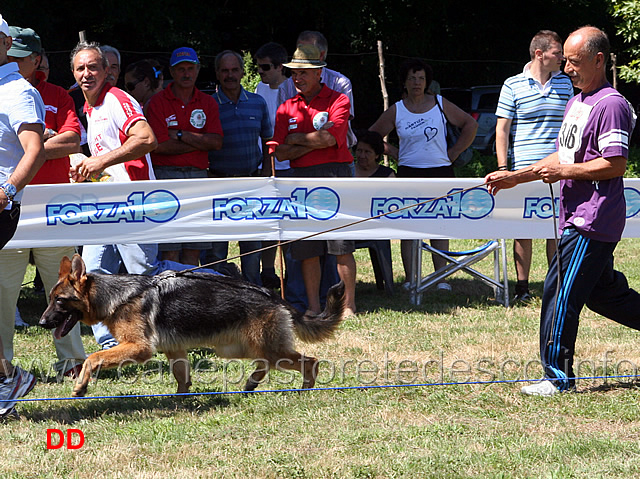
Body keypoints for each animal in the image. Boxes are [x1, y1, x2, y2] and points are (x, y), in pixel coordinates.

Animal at [39, 255, 344, 398]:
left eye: (59, 301)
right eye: (50, 299)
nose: (42, 322)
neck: (118, 296)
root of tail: (272, 294)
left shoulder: (138, 348)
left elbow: (93, 358)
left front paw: (81, 386)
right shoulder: (175, 351)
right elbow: (182, 379)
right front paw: (179, 400)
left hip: (262, 347)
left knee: (310, 361)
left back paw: (305, 390)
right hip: (240, 348)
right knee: (266, 363)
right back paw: (251, 384)